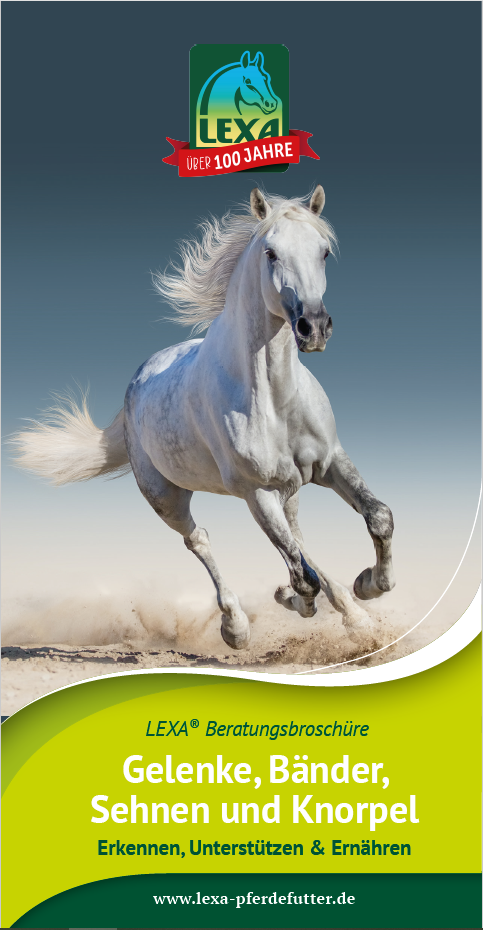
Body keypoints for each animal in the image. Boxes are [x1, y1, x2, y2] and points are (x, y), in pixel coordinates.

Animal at [12, 187, 395, 651]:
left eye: (324, 251)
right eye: (271, 253)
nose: (314, 327)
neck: (274, 398)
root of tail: (137, 382)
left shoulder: (329, 461)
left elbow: (377, 518)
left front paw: (368, 585)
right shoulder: (256, 492)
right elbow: (302, 575)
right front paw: (297, 600)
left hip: (288, 489)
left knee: (298, 538)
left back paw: (354, 615)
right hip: (167, 498)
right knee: (201, 540)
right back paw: (236, 627)